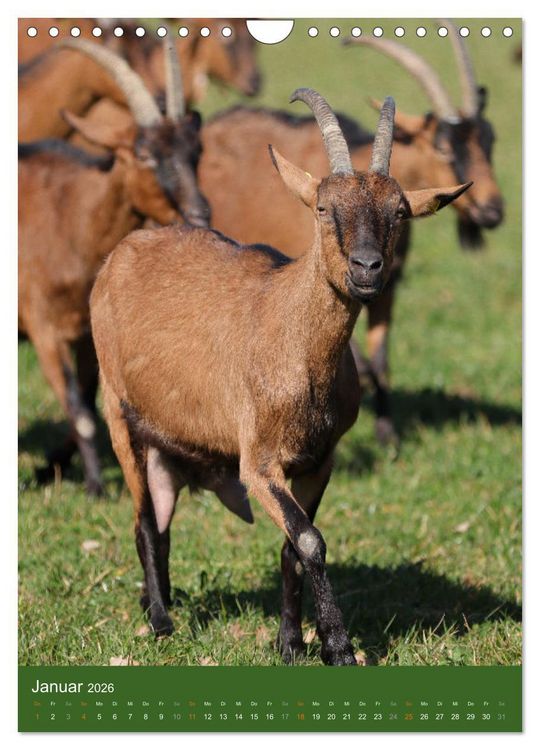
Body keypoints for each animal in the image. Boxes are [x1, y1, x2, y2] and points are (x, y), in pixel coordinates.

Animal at [18, 38, 209, 496]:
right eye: (143, 154)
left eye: (196, 151)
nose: (200, 214)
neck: (68, 220)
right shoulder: (43, 330)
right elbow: (79, 410)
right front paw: (94, 487)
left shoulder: (87, 336)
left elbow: (90, 405)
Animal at [90, 89, 470, 664]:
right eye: (322, 207)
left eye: (399, 210)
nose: (367, 269)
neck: (293, 340)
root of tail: (120, 254)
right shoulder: (259, 462)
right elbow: (311, 540)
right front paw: (339, 648)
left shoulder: (318, 459)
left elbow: (294, 546)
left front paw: (290, 643)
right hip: (118, 413)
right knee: (144, 521)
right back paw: (160, 620)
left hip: (165, 442)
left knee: (160, 514)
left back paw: (157, 603)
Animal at [198, 20, 503, 446]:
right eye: (443, 146)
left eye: (490, 139)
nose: (493, 211)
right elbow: (362, 362)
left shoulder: (388, 287)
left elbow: (381, 360)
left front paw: (387, 435)